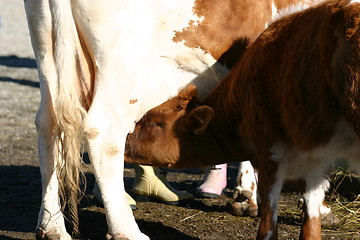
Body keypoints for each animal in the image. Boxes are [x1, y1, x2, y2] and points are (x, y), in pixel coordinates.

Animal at [124, 0, 360, 239]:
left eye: (155, 122)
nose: (126, 138)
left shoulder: (272, 148)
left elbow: (271, 224)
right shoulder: (313, 158)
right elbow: (310, 223)